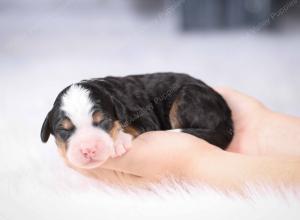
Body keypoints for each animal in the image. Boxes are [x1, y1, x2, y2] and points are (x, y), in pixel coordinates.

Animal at [40, 72, 232, 170]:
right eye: (64, 130)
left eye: (104, 121)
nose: (88, 150)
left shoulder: (144, 116)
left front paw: (118, 142)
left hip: (187, 96)